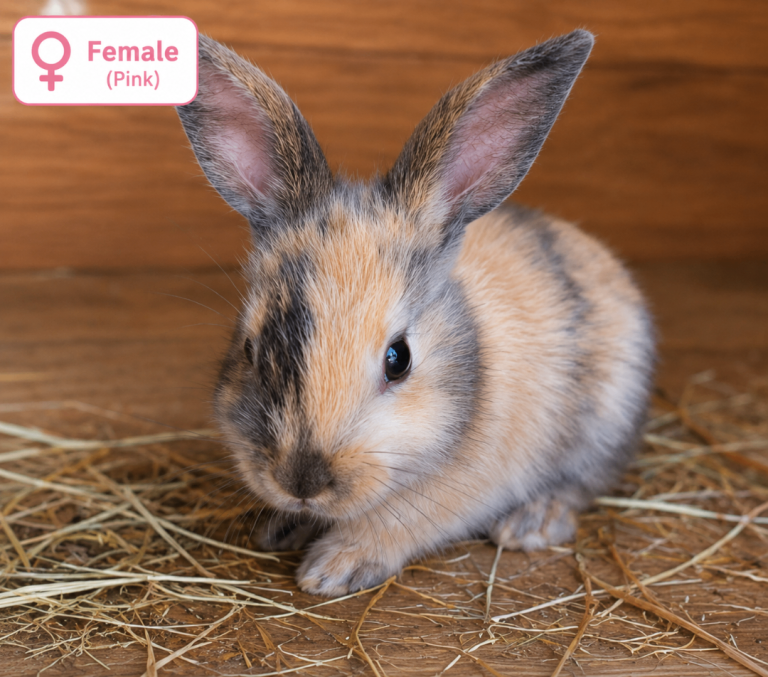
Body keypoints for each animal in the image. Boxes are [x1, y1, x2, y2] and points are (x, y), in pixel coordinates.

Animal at [176, 30, 655, 597]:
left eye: (398, 359)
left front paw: (330, 569)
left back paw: (530, 524)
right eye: (252, 349)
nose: (301, 483)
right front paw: (283, 527)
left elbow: (394, 521)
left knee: (581, 484)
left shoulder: (457, 488)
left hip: (606, 419)